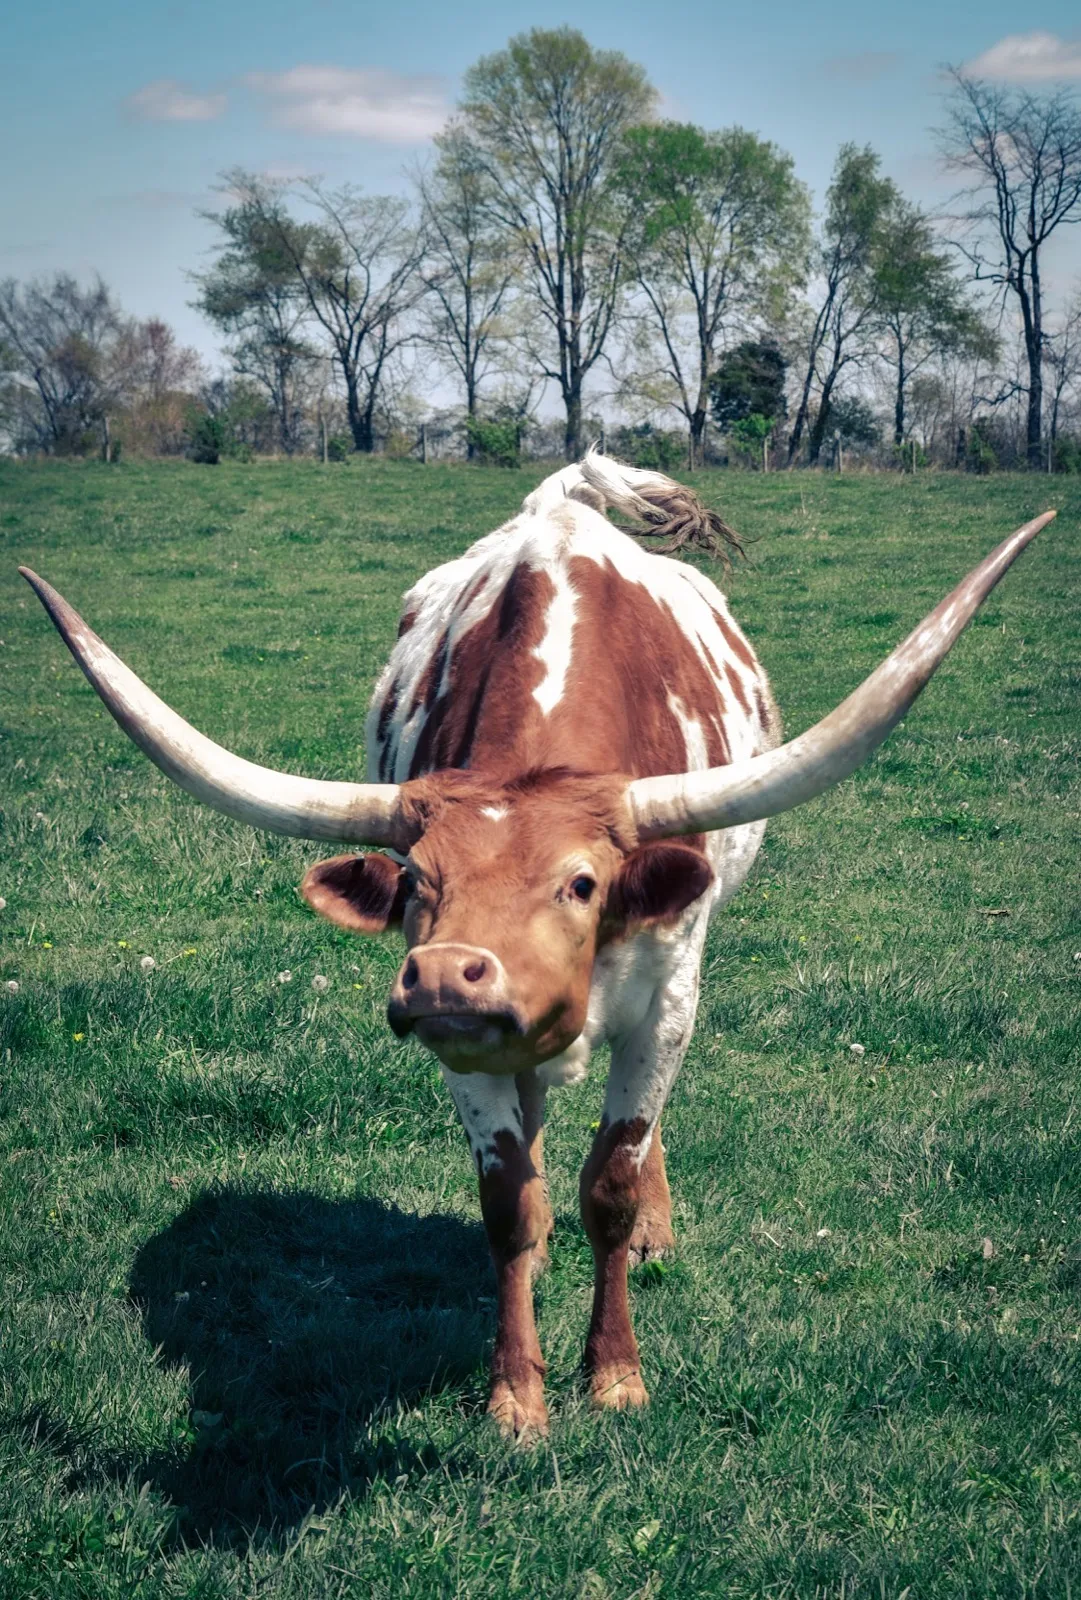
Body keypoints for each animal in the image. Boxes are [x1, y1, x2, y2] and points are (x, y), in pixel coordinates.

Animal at [21, 453, 1053, 1439]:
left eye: (582, 882)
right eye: (418, 883)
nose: (446, 975)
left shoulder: (667, 999)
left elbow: (614, 1183)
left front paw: (616, 1375)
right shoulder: (461, 1047)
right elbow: (509, 1203)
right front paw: (518, 1395)